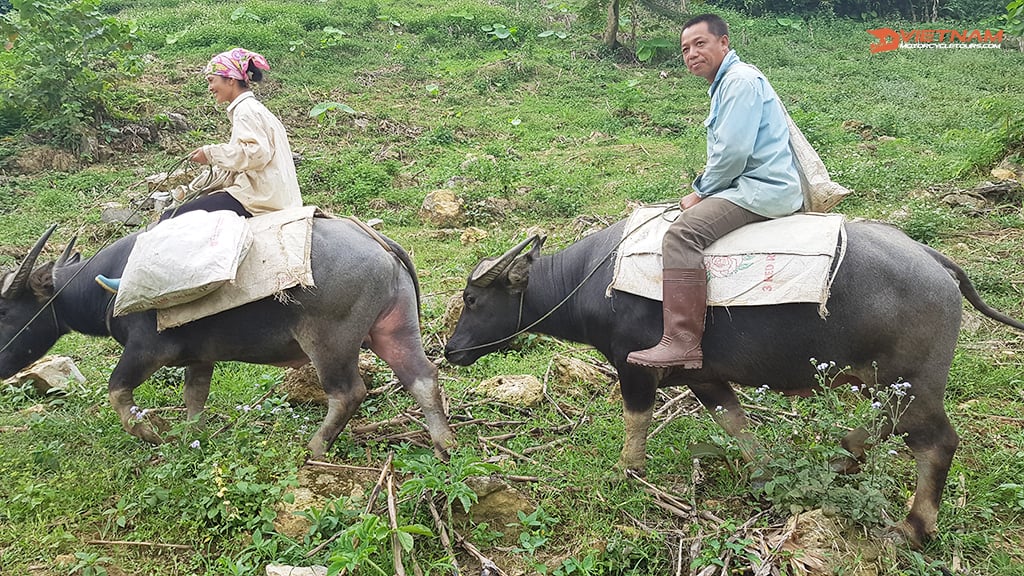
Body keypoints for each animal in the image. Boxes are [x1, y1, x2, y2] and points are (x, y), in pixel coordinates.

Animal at [0, 219, 456, 457]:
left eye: (5, 309)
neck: (110, 287)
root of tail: (379, 242)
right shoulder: (199, 358)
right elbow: (194, 398)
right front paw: (189, 437)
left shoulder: (145, 350)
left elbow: (116, 391)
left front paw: (153, 431)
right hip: (393, 328)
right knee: (422, 376)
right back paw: (443, 441)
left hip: (330, 341)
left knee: (348, 393)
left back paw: (314, 447)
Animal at [444, 217, 1024, 545]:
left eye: (471, 299)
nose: (451, 350)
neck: (596, 281)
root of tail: (932, 258)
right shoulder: (706, 378)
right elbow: (735, 424)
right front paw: (765, 476)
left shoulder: (635, 368)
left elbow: (636, 422)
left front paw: (626, 472)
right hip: (882, 384)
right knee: (888, 427)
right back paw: (843, 457)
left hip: (911, 385)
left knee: (936, 443)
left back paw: (912, 525)